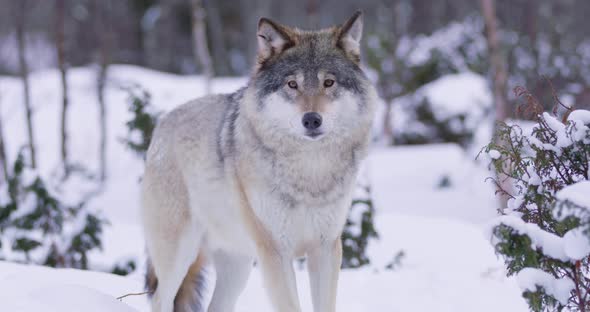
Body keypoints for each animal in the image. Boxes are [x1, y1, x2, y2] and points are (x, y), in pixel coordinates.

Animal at [141, 10, 376, 312]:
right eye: (292, 84)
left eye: (329, 82)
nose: (312, 120)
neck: (310, 172)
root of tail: (161, 125)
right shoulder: (275, 252)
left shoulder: (326, 249)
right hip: (179, 256)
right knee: (161, 299)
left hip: (238, 266)